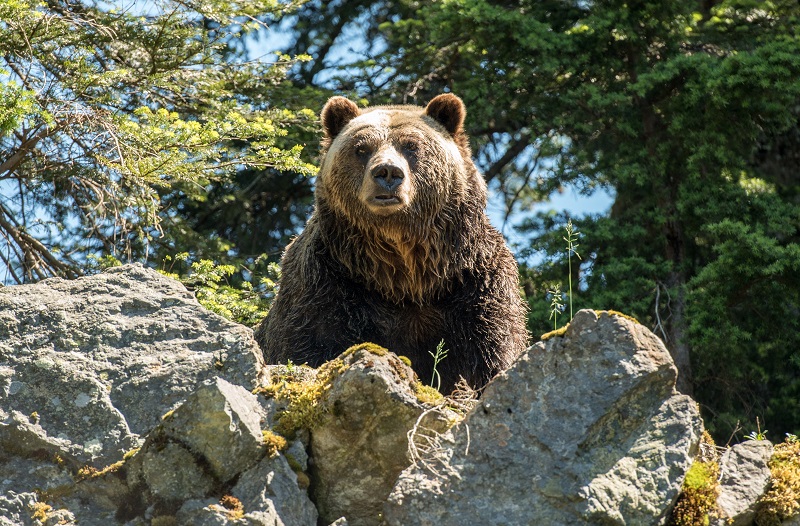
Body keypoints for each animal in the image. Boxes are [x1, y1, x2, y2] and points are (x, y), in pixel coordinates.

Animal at [254, 93, 529, 393]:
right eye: (361, 148)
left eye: (412, 146)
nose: (387, 172)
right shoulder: (326, 282)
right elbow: (309, 344)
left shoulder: (474, 283)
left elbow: (489, 352)